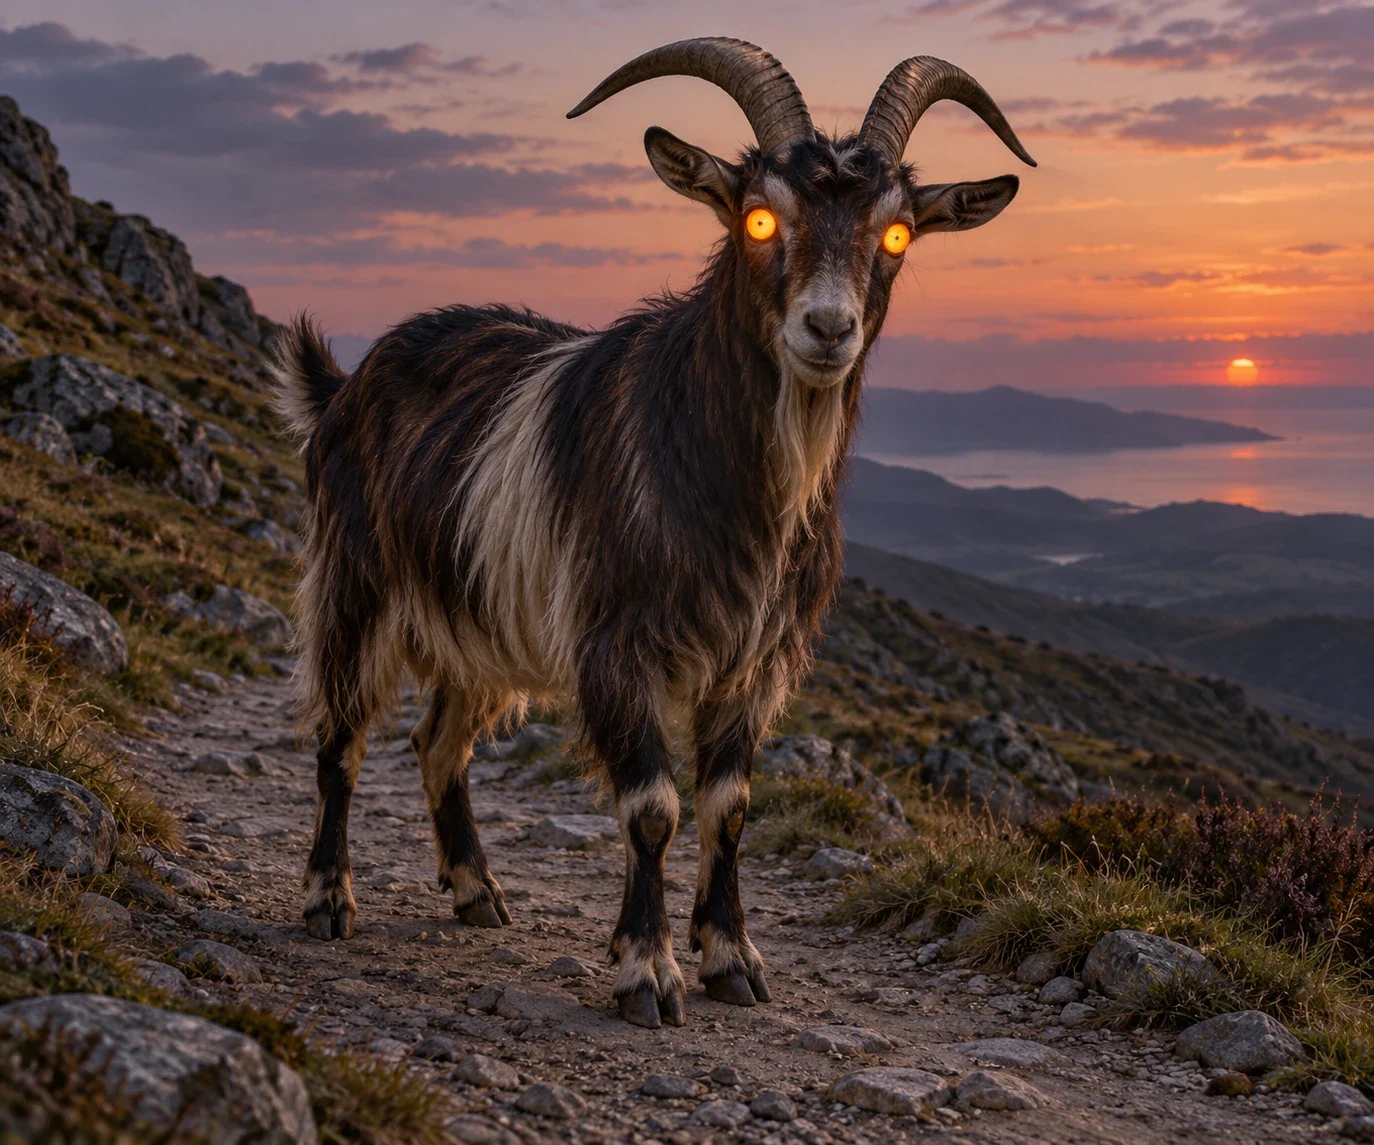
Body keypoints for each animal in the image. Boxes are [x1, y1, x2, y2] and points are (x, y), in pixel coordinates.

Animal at [274, 38, 1034, 1029]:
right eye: (759, 217)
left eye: (898, 233)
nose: (828, 328)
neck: (730, 485)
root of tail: (346, 384)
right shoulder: (615, 641)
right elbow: (652, 807)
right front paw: (648, 969)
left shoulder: (755, 663)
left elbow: (729, 805)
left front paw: (732, 957)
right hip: (356, 586)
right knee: (342, 737)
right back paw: (330, 897)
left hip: (481, 622)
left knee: (439, 742)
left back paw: (477, 889)